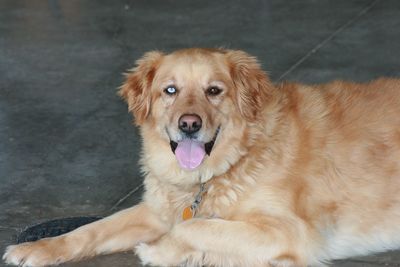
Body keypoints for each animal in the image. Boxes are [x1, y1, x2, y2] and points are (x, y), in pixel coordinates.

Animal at [3, 48, 400, 267]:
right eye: (170, 90)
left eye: (213, 91)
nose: (189, 125)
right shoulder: (156, 209)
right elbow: (89, 230)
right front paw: (36, 248)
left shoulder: (290, 232)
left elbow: (192, 227)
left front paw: (161, 252)